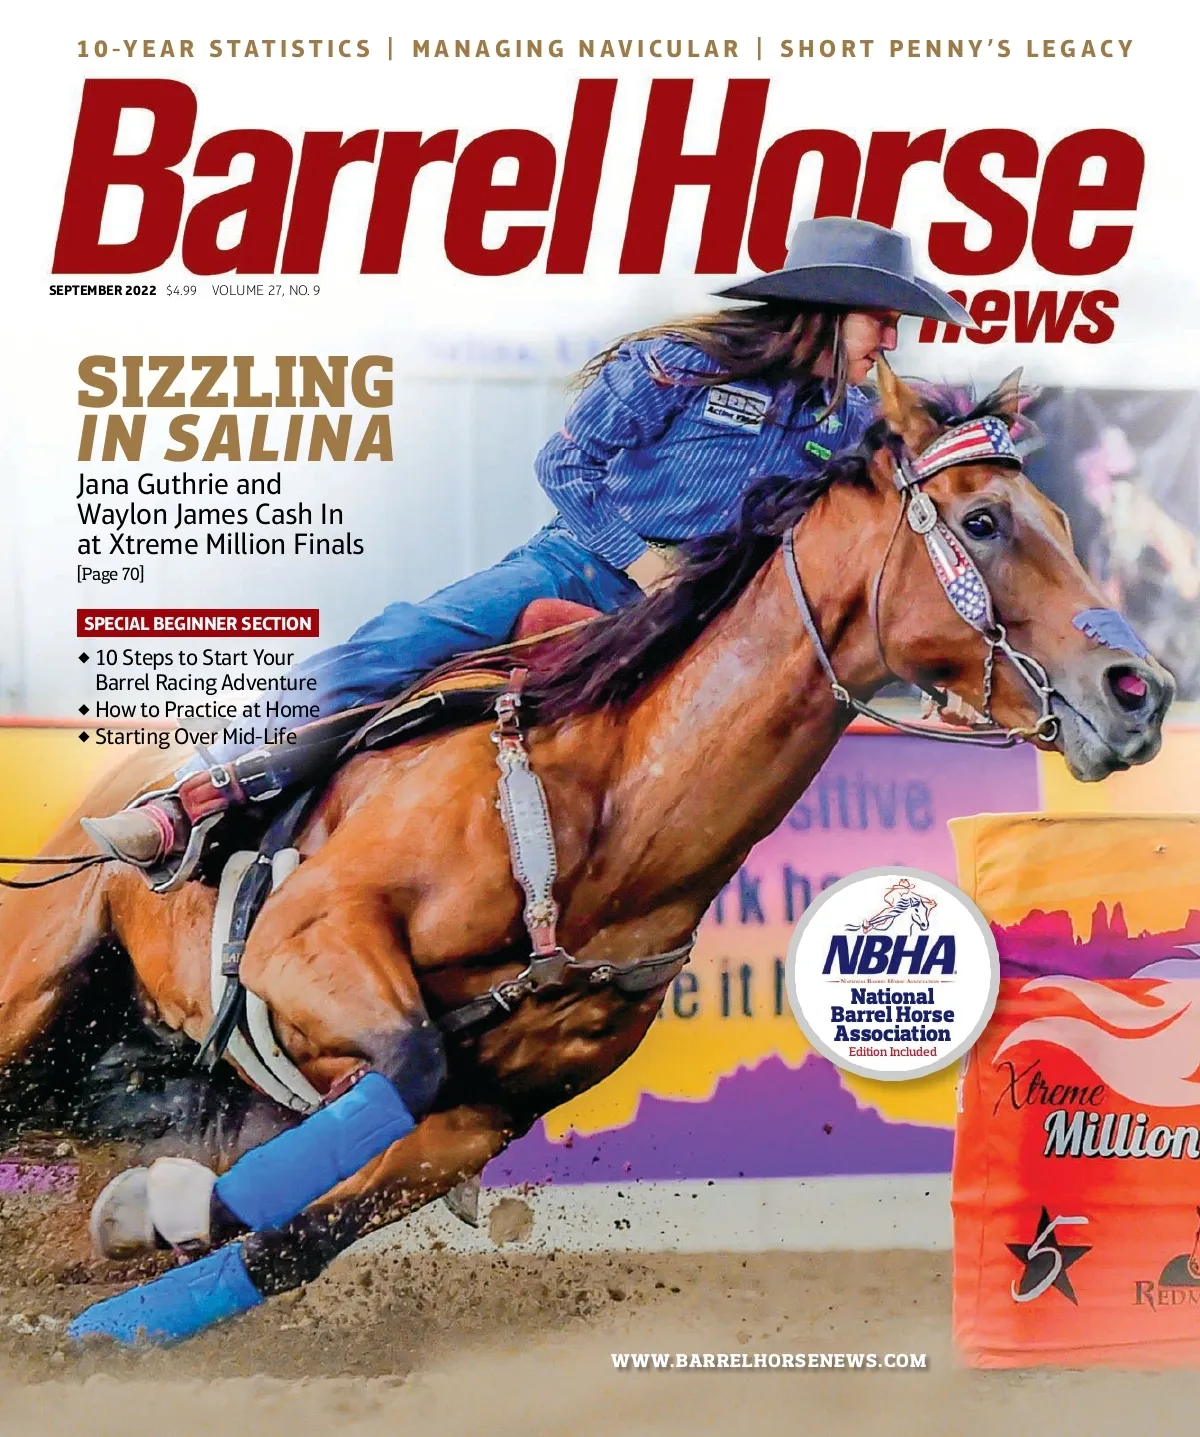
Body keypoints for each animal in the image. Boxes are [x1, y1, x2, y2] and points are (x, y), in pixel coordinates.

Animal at [0, 362, 1174, 1343]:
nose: (1143, 691)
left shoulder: (482, 1117)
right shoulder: (308, 935)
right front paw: (146, 1232)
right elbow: (409, 1059)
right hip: (34, 995)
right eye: (982, 519)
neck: (604, 814)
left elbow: (296, 1233)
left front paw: (142, 1233)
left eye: (1063, 519)